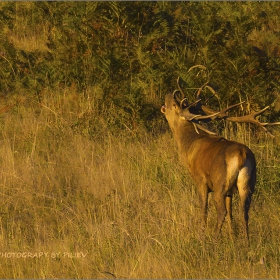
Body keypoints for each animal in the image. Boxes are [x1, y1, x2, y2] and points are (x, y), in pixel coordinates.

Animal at [161, 67, 278, 243]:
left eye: (174, 103)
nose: (168, 93)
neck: (188, 147)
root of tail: (241, 155)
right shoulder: (230, 191)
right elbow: (231, 213)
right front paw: (232, 236)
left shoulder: (201, 180)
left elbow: (204, 210)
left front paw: (201, 236)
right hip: (247, 184)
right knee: (244, 212)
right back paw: (247, 243)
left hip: (219, 183)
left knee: (221, 211)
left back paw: (214, 240)